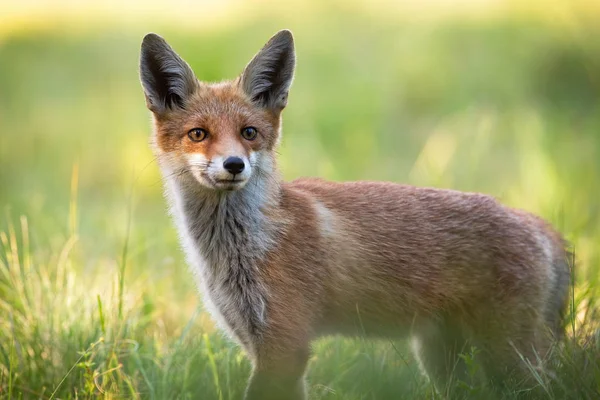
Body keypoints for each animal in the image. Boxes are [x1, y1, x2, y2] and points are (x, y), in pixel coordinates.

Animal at [139, 29, 572, 398]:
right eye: (198, 134)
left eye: (249, 133)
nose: (233, 165)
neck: (242, 250)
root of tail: (537, 223)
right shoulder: (260, 342)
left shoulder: (286, 344)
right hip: (444, 359)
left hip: (508, 357)